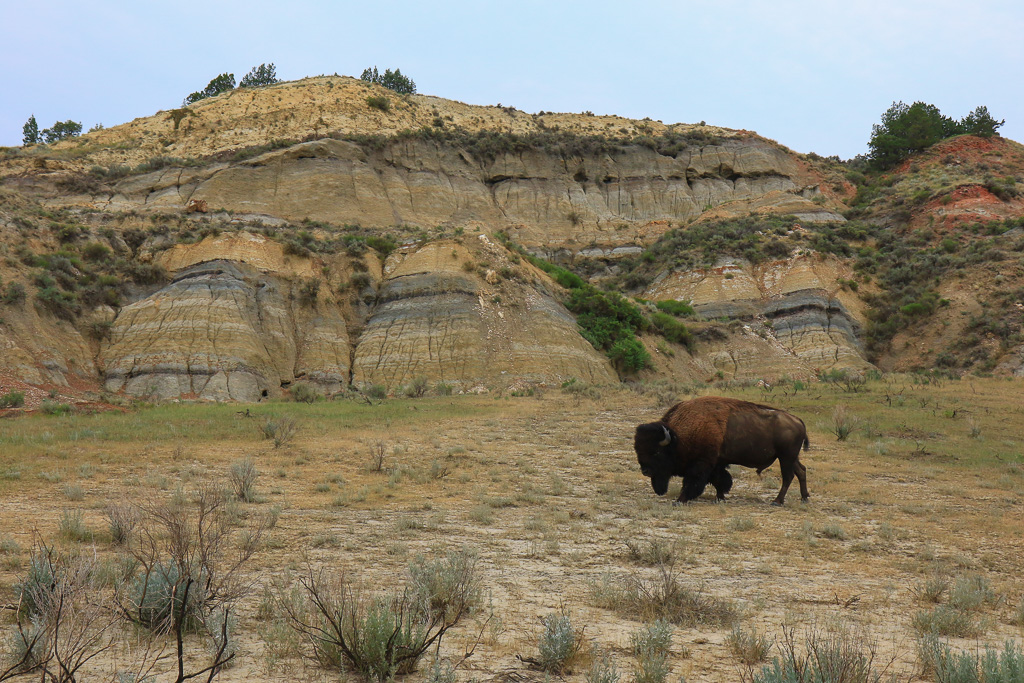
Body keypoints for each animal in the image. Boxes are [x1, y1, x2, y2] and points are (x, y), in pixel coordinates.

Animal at [630, 395, 806, 507]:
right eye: (638, 450)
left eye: (656, 452)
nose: (645, 471)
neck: (678, 437)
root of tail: (798, 420)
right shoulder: (716, 463)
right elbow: (719, 480)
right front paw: (720, 498)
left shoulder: (702, 464)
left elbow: (692, 482)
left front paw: (680, 500)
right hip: (791, 457)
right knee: (801, 471)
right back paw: (804, 498)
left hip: (785, 457)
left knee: (788, 476)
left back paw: (777, 501)